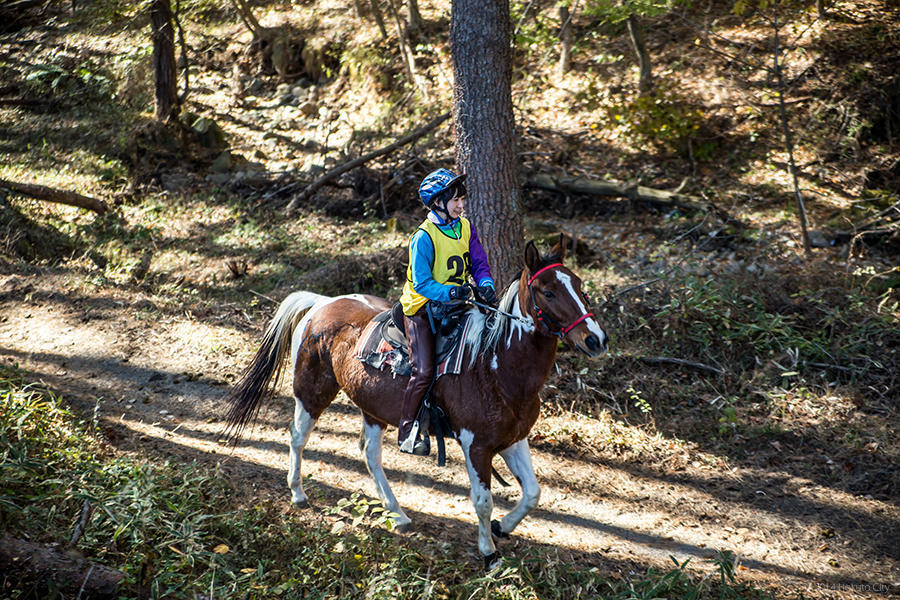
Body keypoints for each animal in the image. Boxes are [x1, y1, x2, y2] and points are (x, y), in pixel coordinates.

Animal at [221, 237, 608, 568]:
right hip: (311, 393)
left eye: (579, 285)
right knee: (298, 438)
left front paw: (503, 526)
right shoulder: (476, 446)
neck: (495, 364)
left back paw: (397, 513)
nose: (596, 339)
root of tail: (321, 303)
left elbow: (532, 493)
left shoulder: (514, 440)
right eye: (549, 291)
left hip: (372, 409)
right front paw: (489, 553)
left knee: (370, 455)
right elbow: (483, 502)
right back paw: (298, 493)